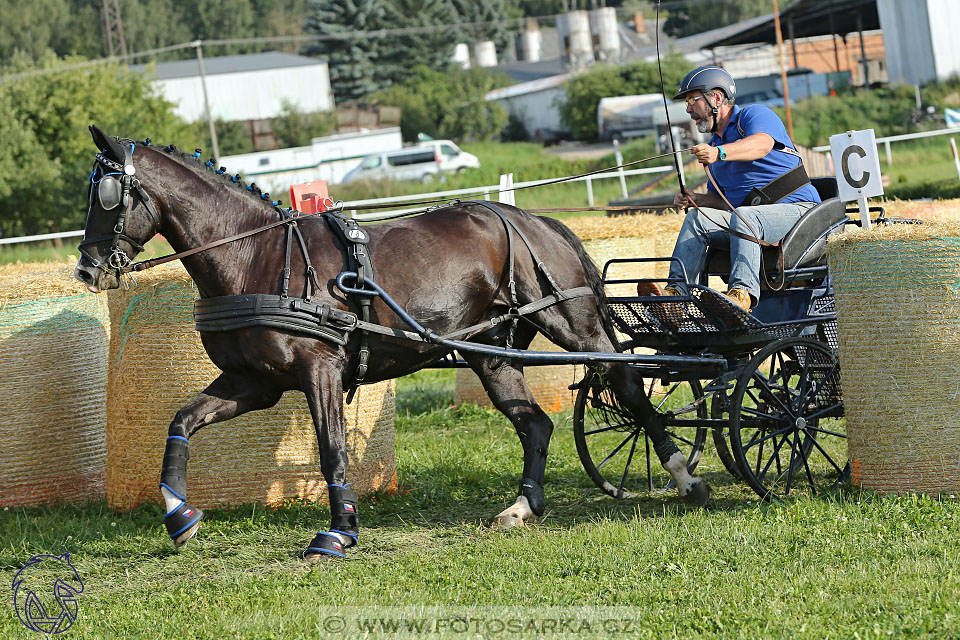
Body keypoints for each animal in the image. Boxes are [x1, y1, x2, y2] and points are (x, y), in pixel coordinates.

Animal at [73, 126, 704, 560]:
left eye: (107, 196)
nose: (85, 269)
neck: (255, 255)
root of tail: (535, 220)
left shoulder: (319, 371)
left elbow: (332, 448)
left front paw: (339, 531)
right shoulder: (253, 383)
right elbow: (181, 420)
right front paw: (178, 514)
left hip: (575, 327)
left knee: (628, 385)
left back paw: (683, 475)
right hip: (490, 353)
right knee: (535, 423)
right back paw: (524, 505)